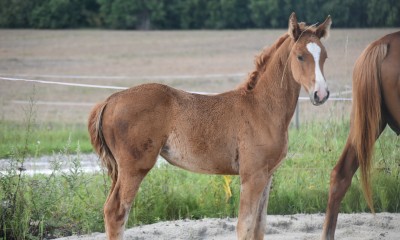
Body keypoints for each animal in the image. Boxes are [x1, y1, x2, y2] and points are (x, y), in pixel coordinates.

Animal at [89, 13, 332, 240]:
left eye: (325, 56)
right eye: (300, 56)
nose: (321, 94)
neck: (262, 108)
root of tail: (110, 100)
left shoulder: (267, 175)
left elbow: (259, 227)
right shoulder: (252, 176)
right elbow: (244, 226)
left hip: (119, 170)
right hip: (134, 168)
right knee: (116, 212)